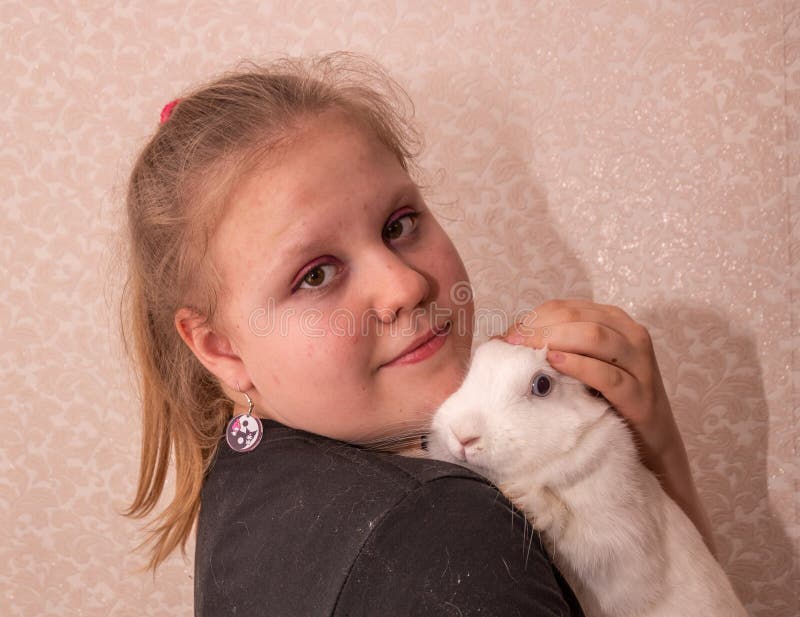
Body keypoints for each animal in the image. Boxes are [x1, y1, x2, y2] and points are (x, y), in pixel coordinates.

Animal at [425, 338, 747, 617]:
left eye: (542, 385)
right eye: (470, 371)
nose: (463, 435)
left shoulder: (623, 544)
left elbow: (577, 533)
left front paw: (524, 498)